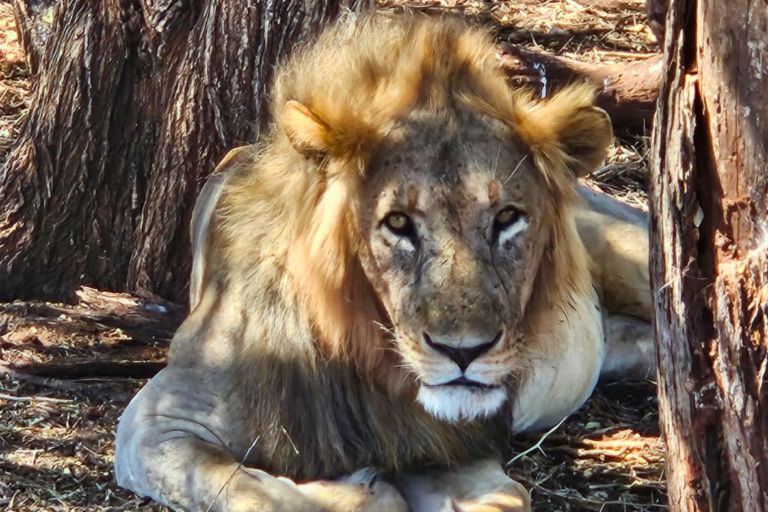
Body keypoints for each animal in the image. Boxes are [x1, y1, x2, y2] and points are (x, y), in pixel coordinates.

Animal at [114, 10, 654, 512]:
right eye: (397, 223)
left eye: (507, 218)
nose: (464, 352)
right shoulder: (159, 421)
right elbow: (254, 493)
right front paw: (356, 487)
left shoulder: (449, 441)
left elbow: (502, 497)